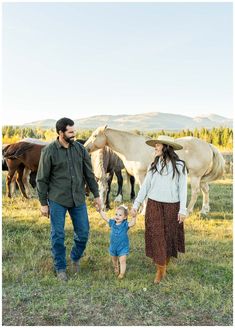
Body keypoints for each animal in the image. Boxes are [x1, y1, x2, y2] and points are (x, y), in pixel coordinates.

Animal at [83, 125, 225, 215]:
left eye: (95, 135)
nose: (85, 147)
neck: (131, 146)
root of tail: (208, 145)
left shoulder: (140, 175)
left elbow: (142, 191)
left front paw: (143, 212)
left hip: (195, 177)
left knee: (196, 192)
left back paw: (188, 211)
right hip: (201, 178)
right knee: (206, 190)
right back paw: (204, 210)